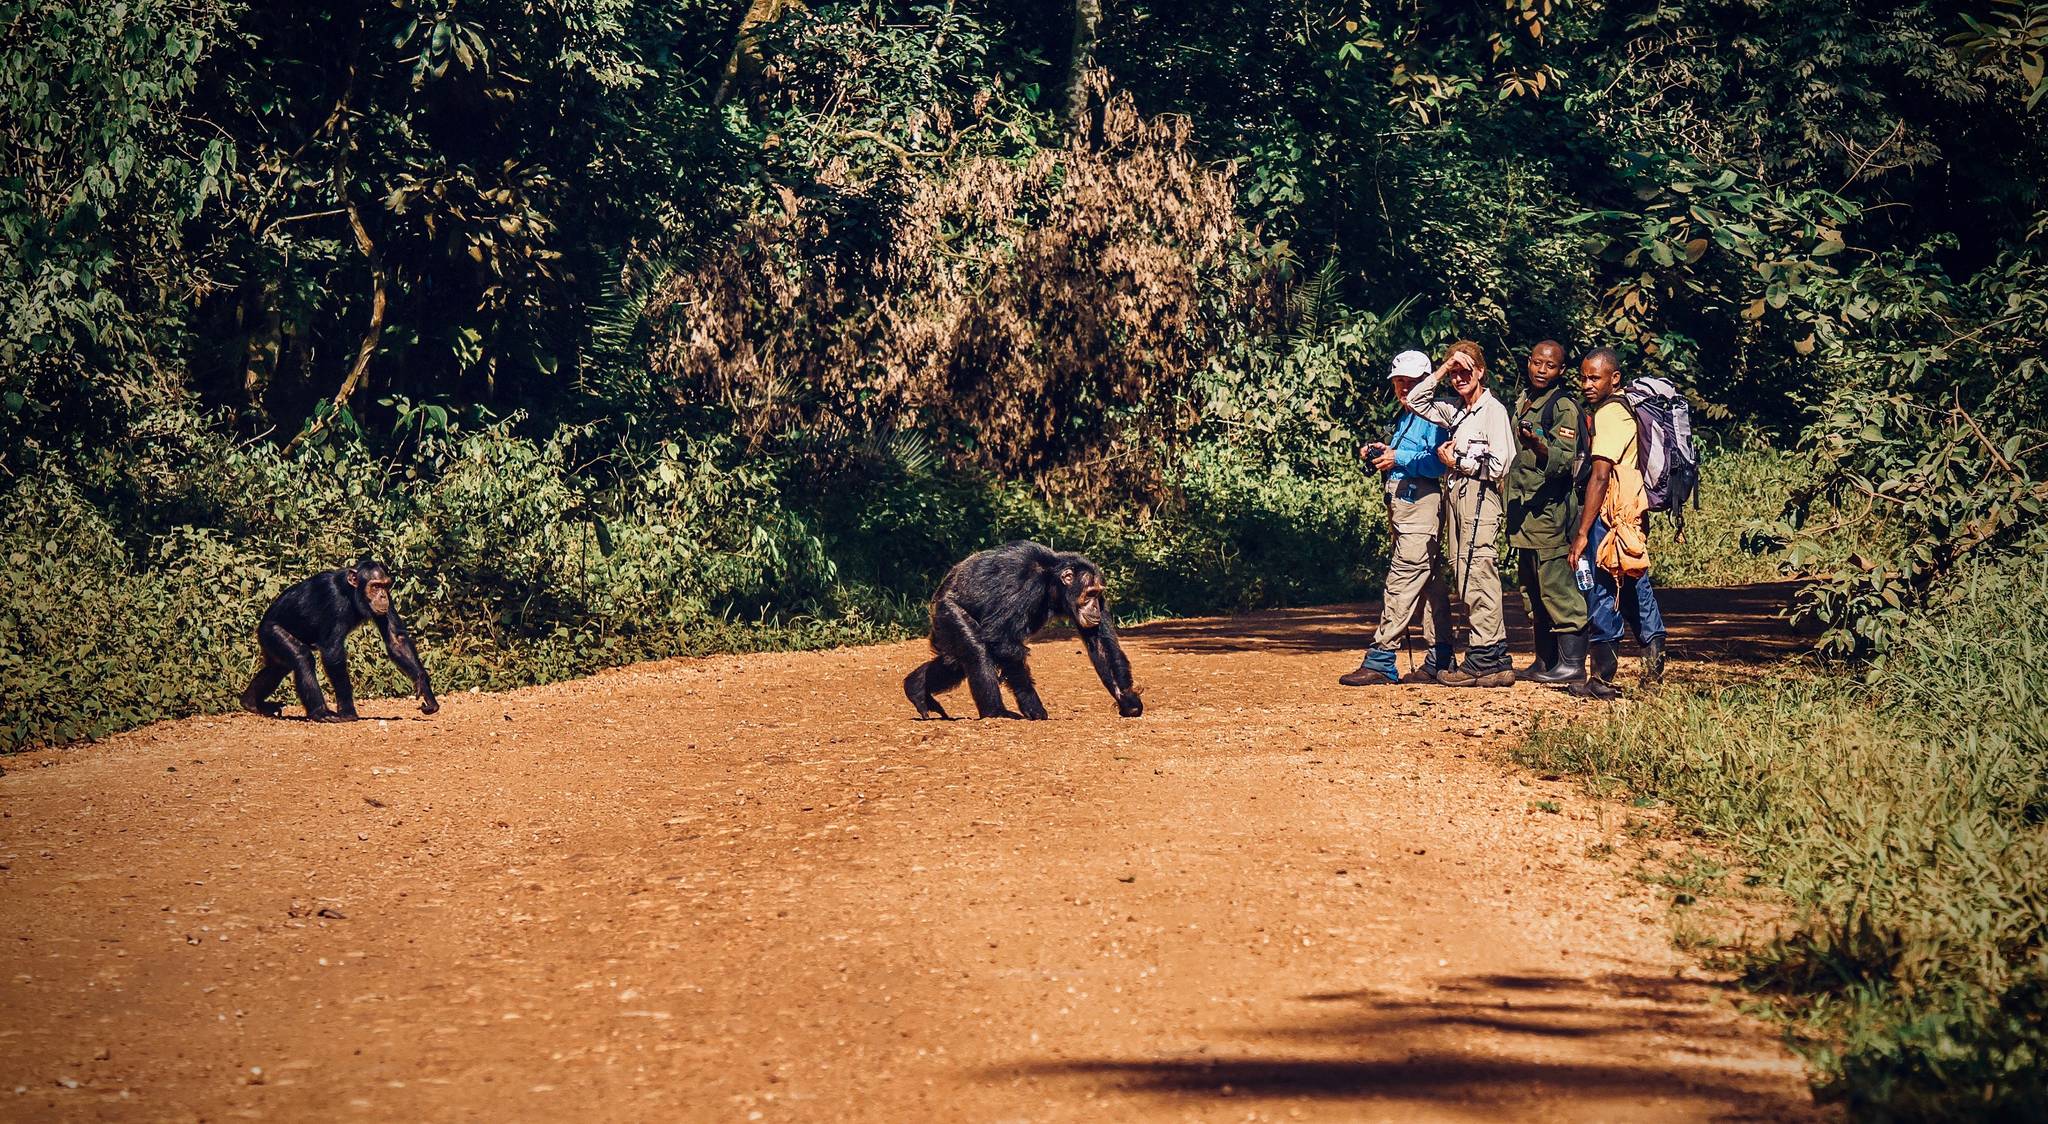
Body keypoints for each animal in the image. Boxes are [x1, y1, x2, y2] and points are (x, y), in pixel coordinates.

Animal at [235, 556, 436, 720]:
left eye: (385, 586)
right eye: (375, 586)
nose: (382, 596)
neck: (351, 591)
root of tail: (261, 625)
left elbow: (396, 639)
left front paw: (424, 687)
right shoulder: (334, 601)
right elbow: (333, 652)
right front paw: (348, 712)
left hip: (270, 642)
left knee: (277, 668)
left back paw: (251, 703)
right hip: (272, 632)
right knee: (301, 658)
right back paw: (321, 713)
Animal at [905, 540, 1146, 720]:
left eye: (1097, 594)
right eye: (1089, 594)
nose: (1096, 607)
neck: (1050, 580)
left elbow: (1101, 645)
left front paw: (1128, 701)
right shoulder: (1021, 583)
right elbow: (1001, 639)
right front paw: (1033, 707)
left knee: (954, 662)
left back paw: (916, 688)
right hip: (948, 610)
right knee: (976, 651)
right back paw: (996, 712)